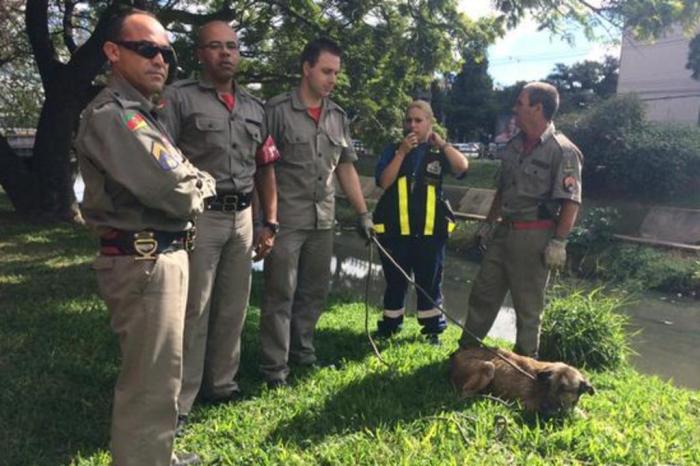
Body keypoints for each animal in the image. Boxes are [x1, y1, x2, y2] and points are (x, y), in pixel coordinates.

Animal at [448, 346, 596, 416]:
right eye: (549, 385)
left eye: (564, 389)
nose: (545, 408)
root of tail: (456, 355)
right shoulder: (526, 404)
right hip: (488, 367)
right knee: (464, 393)